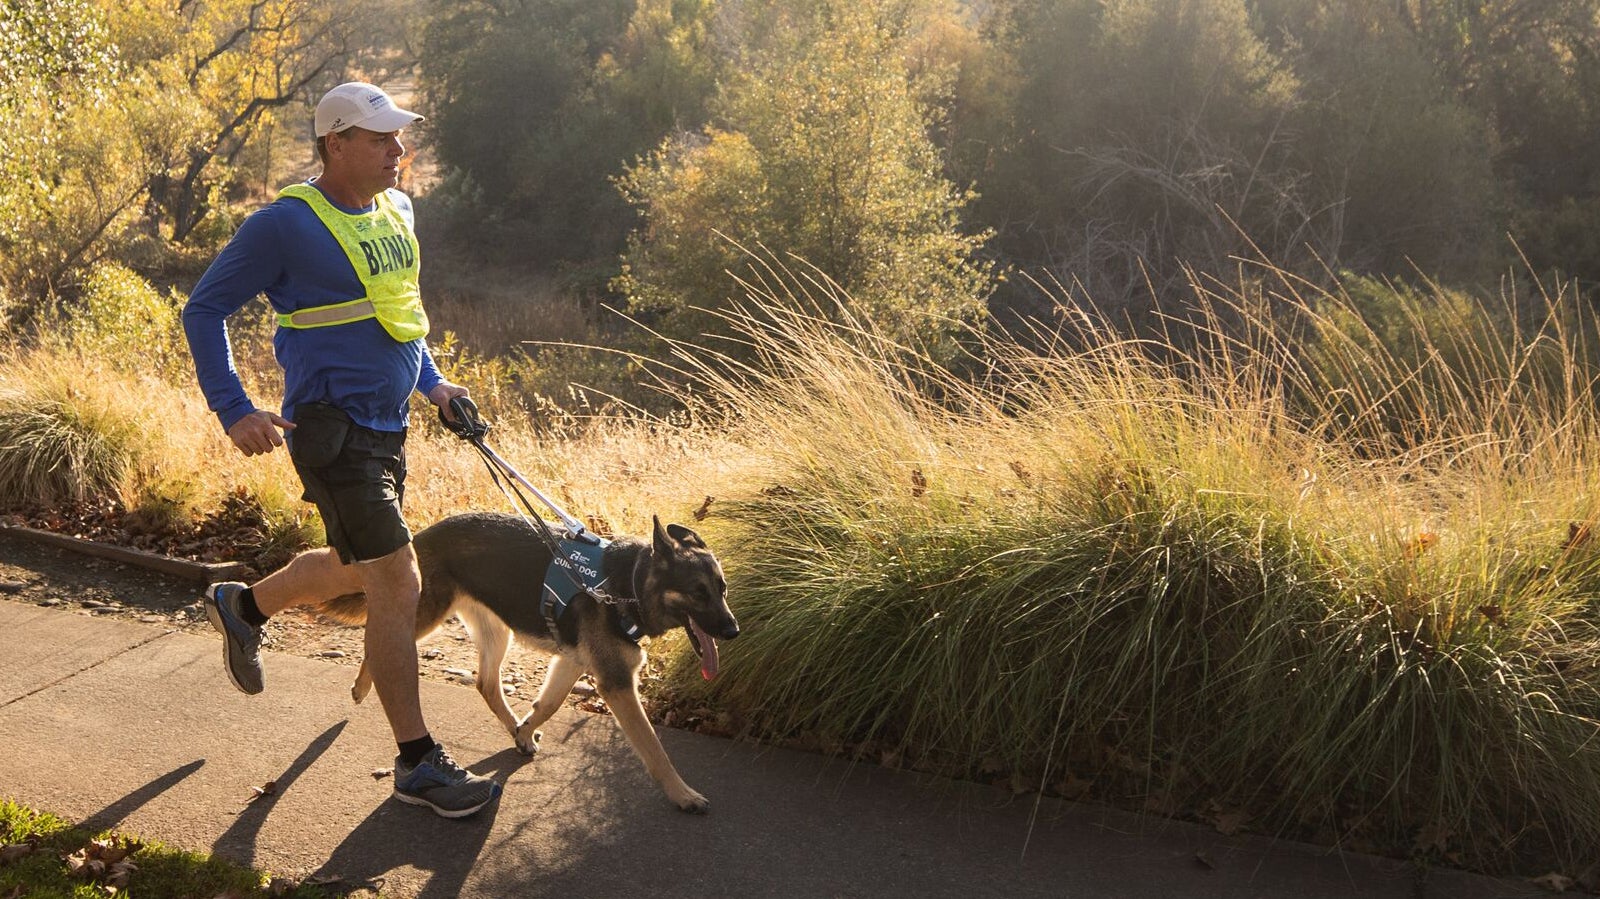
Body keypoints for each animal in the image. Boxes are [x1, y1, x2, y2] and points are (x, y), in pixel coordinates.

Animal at [320, 511, 742, 812]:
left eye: (722, 589)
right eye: (698, 593)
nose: (734, 630)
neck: (629, 586)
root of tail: (422, 534)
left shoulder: (571, 664)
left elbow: (549, 704)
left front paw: (524, 731)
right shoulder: (617, 684)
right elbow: (655, 748)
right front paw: (682, 794)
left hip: (496, 634)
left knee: (486, 684)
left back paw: (513, 729)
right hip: (426, 614)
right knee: (376, 639)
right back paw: (362, 685)